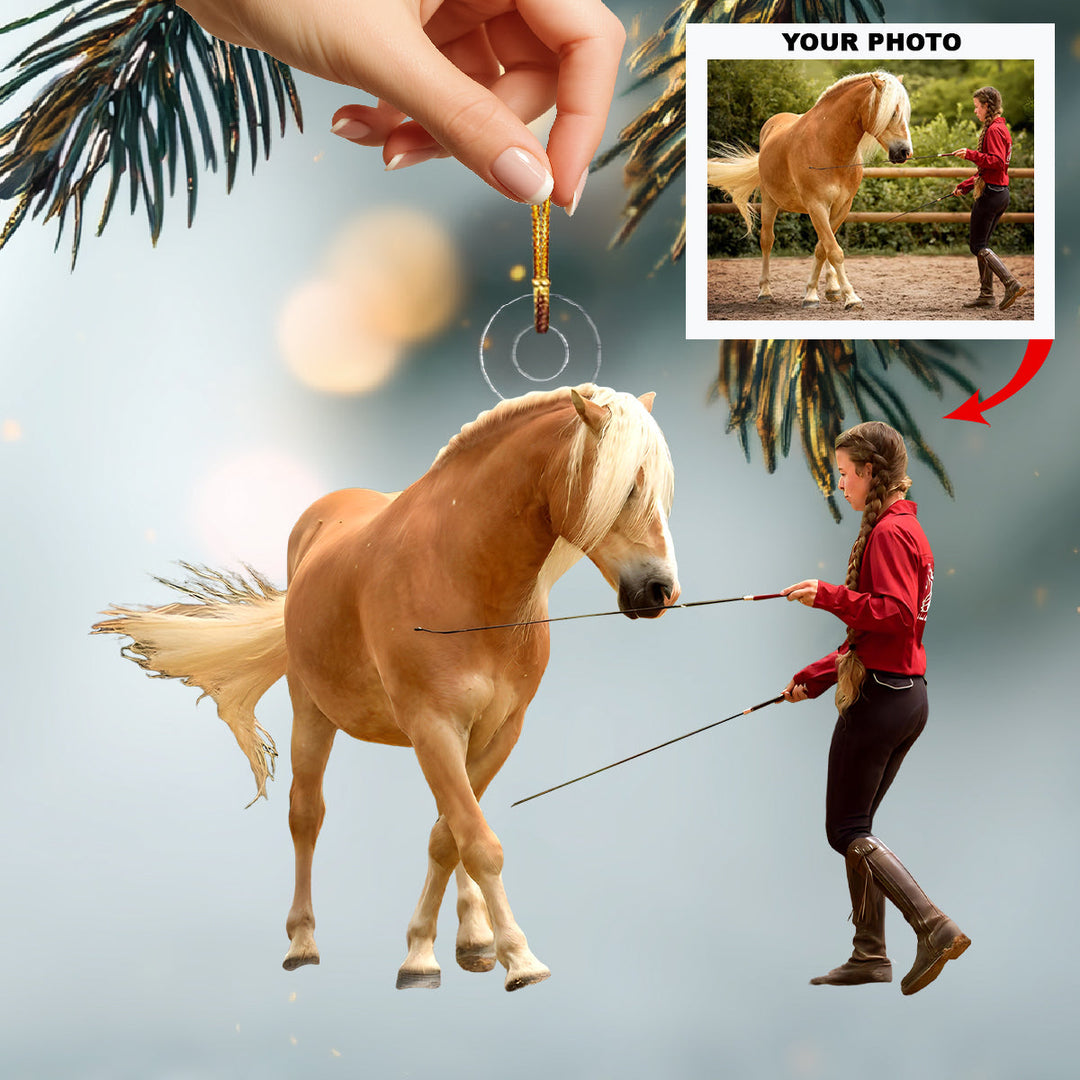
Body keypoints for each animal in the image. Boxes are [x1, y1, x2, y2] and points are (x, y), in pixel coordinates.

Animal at [93, 384, 680, 992]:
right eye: (628, 486)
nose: (660, 590)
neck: (462, 573)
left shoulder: (499, 732)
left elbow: (451, 836)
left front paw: (439, 950)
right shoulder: (432, 726)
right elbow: (477, 841)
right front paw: (515, 959)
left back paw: (473, 938)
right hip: (313, 713)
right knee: (306, 813)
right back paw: (302, 943)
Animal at [707, 71, 912, 310]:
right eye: (892, 113)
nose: (905, 152)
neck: (828, 146)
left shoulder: (841, 207)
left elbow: (823, 249)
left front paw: (816, 292)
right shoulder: (816, 205)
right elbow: (834, 251)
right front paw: (849, 297)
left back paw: (832, 288)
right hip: (770, 202)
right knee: (767, 240)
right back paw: (765, 291)